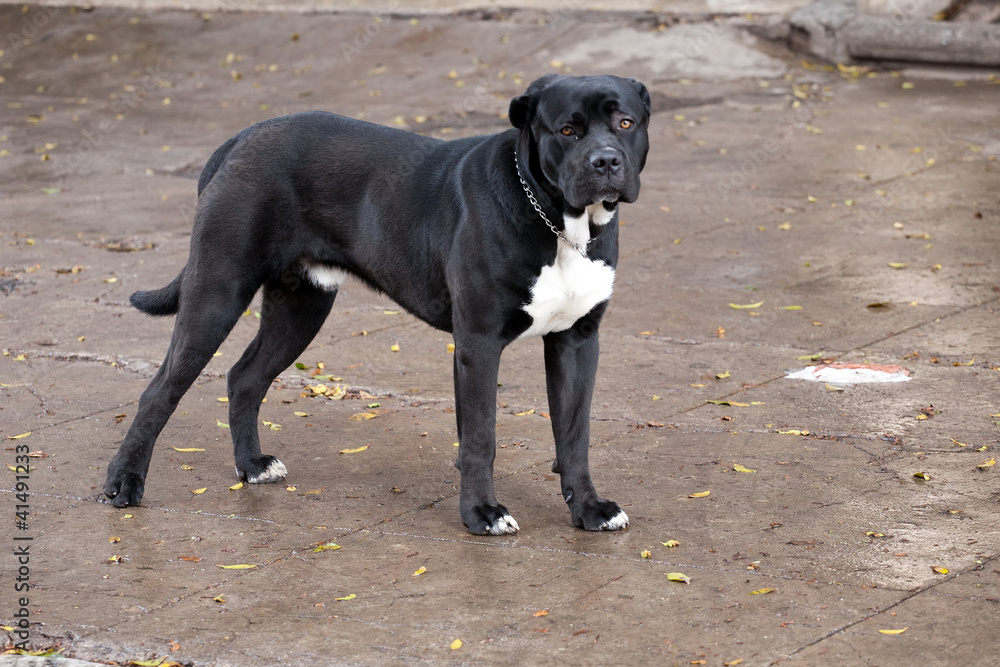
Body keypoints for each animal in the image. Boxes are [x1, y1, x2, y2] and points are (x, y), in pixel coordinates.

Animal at [103, 73, 648, 536]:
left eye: (625, 123)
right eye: (568, 130)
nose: (605, 162)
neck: (561, 223)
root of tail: (241, 138)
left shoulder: (576, 342)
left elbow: (574, 435)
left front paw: (589, 510)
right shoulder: (479, 342)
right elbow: (481, 438)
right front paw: (481, 513)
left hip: (301, 306)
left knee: (245, 377)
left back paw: (252, 466)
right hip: (217, 292)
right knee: (160, 391)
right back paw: (124, 482)